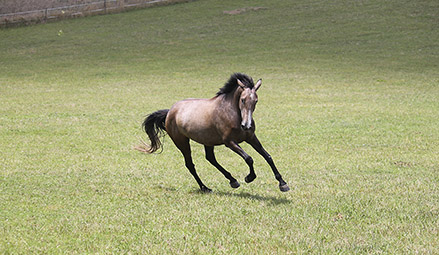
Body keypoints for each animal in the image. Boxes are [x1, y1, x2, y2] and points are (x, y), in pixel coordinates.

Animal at [139, 72, 290, 192]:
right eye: (242, 100)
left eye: (256, 101)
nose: (246, 125)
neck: (233, 114)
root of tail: (170, 112)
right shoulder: (229, 142)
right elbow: (249, 158)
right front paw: (249, 177)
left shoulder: (251, 137)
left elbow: (268, 157)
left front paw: (283, 184)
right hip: (182, 142)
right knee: (190, 164)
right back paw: (205, 187)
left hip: (207, 141)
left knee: (210, 158)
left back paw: (232, 181)